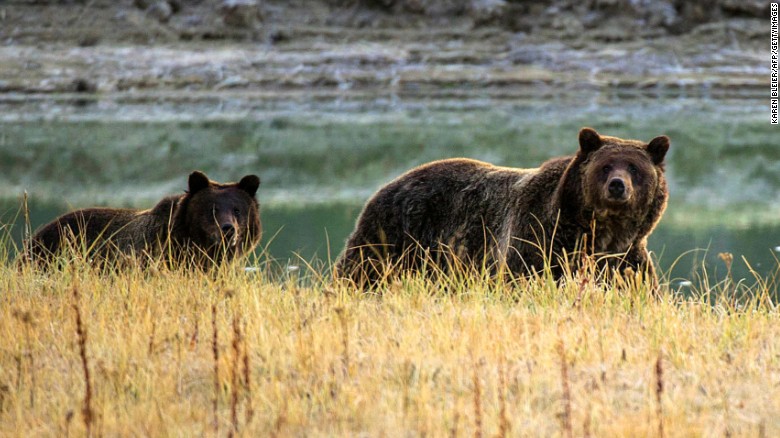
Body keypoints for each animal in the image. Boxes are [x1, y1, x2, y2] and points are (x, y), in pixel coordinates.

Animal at [336, 126, 672, 288]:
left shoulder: (626, 258)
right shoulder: (538, 240)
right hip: (394, 235)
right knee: (361, 270)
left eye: (634, 167)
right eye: (606, 166)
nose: (617, 185)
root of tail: (388, 184)